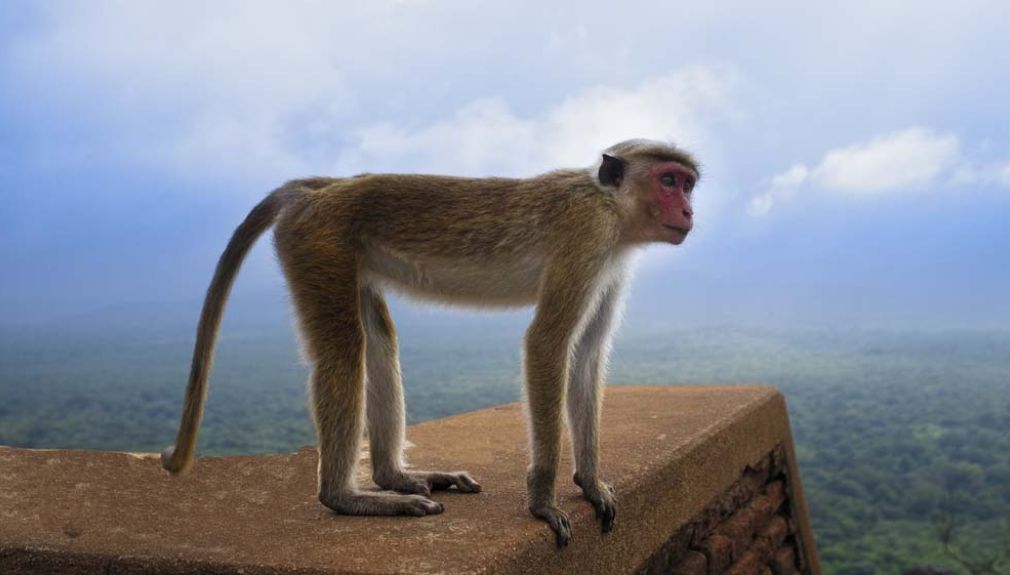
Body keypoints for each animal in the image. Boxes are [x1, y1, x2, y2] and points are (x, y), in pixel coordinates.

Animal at [161, 139, 699, 548]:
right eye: (669, 181)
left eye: (688, 183)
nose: (690, 209)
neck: (611, 205)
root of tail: (323, 189)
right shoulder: (585, 235)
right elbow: (547, 344)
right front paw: (542, 503)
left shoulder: (611, 262)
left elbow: (586, 358)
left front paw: (590, 483)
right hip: (318, 241)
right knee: (344, 350)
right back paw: (347, 497)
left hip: (342, 250)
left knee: (379, 341)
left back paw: (392, 477)